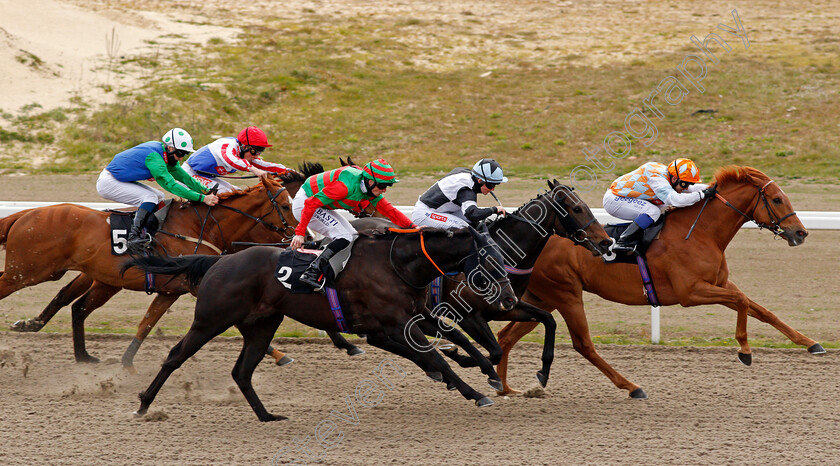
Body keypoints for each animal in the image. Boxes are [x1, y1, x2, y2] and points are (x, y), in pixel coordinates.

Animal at [0, 175, 296, 364]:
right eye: (285, 205)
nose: (296, 236)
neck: (199, 226)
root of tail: (24, 214)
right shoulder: (199, 285)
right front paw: (279, 355)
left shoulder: (171, 290)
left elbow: (146, 324)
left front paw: (126, 362)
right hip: (26, 272)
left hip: (91, 278)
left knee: (76, 305)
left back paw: (75, 351)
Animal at [492, 166, 820, 398]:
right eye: (776, 199)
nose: (801, 232)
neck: (700, 232)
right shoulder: (691, 293)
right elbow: (741, 303)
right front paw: (745, 351)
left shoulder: (720, 284)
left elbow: (761, 310)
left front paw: (810, 343)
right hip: (565, 294)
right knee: (583, 344)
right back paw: (632, 387)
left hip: (541, 297)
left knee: (506, 336)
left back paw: (505, 387)